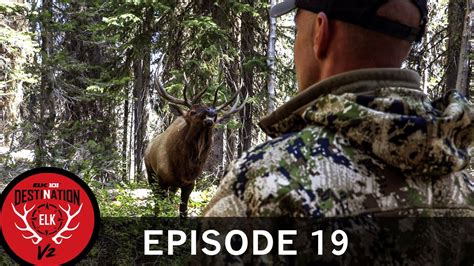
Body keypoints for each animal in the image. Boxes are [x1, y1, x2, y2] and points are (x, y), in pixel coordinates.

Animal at [144, 74, 246, 217]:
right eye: (192, 111)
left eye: (216, 117)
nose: (211, 112)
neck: (183, 167)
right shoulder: (162, 179)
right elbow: (163, 207)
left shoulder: (189, 183)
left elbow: (183, 211)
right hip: (150, 174)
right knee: (157, 200)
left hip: (172, 186)